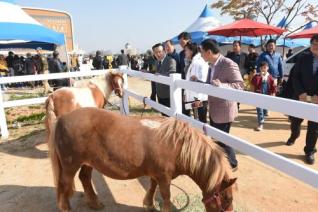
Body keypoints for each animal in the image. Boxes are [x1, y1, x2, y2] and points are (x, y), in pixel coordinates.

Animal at [47, 108, 236, 211]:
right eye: (227, 199)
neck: (177, 144)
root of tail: (62, 119)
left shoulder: (156, 173)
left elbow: (152, 187)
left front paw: (149, 204)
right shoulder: (164, 177)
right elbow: (166, 195)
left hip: (88, 162)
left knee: (84, 178)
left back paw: (94, 203)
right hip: (70, 164)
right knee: (64, 184)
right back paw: (66, 208)